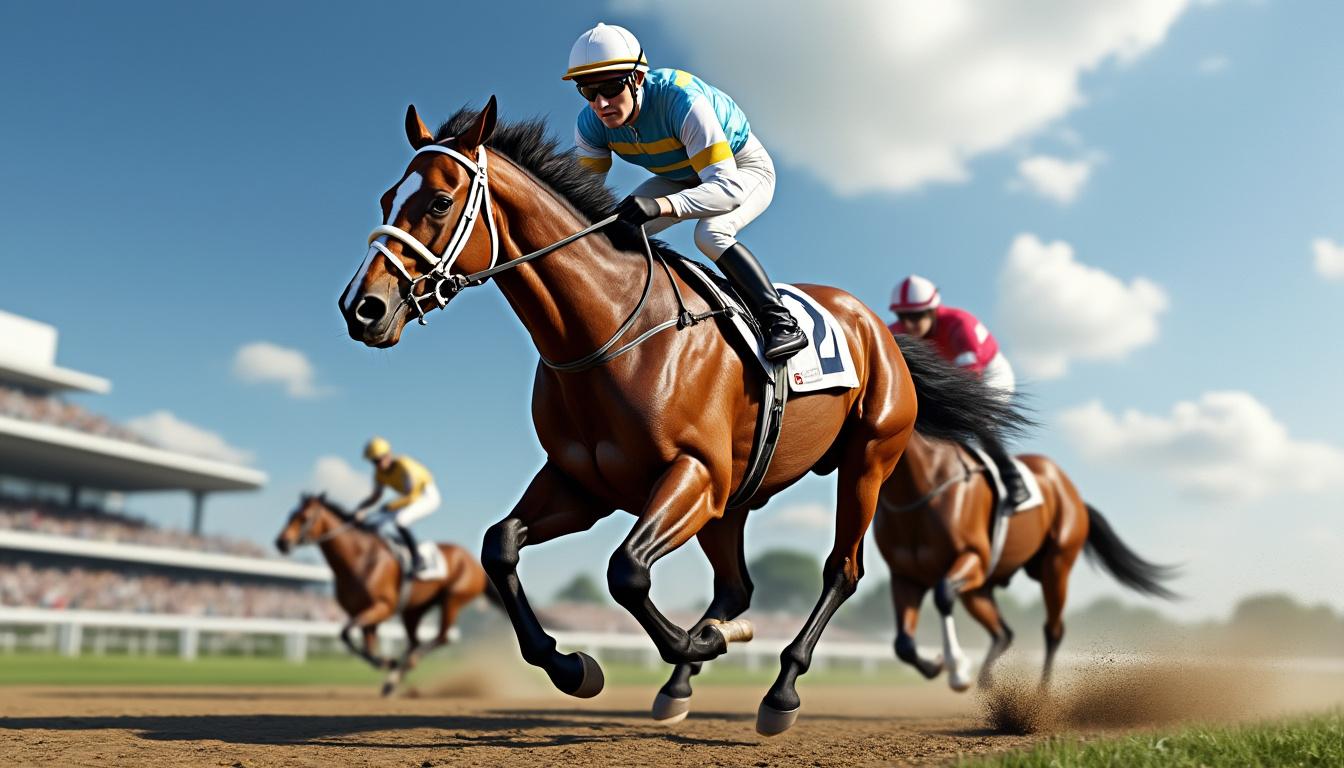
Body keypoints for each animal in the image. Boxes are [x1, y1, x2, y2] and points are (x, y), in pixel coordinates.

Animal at [274, 494, 492, 695]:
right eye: (290, 515)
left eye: (304, 517)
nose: (281, 542)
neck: (360, 559)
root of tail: (473, 561)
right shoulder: (363, 613)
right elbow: (359, 643)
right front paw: (387, 663)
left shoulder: (383, 607)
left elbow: (347, 633)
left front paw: (388, 662)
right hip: (414, 610)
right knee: (415, 642)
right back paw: (393, 680)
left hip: (452, 600)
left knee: (442, 638)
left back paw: (408, 665)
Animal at [337, 98, 1027, 734]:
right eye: (385, 198)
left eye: (438, 203)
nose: (361, 308)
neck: (610, 328)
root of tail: (874, 325)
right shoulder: (585, 483)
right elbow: (500, 546)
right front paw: (573, 665)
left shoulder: (692, 473)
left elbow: (626, 573)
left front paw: (708, 641)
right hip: (738, 494)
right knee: (737, 585)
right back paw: (681, 684)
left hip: (866, 460)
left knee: (843, 570)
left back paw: (781, 689)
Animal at [874, 431, 1177, 691]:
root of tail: (1073, 494)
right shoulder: (905, 576)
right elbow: (903, 644)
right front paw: (937, 666)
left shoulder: (972, 558)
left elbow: (942, 595)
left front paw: (957, 670)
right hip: (979, 589)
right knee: (1003, 632)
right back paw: (988, 681)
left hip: (1055, 566)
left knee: (1052, 629)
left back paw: (1041, 692)